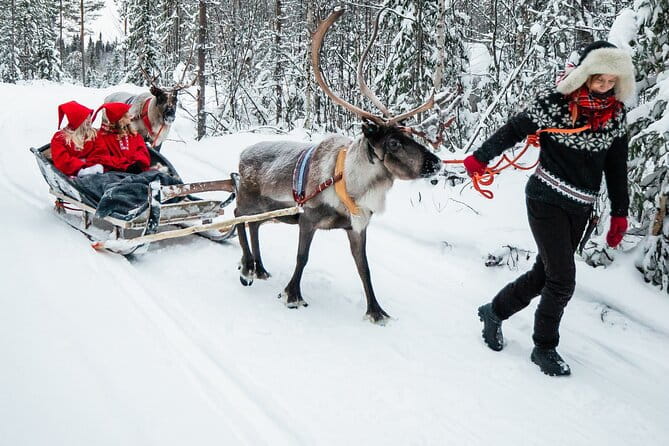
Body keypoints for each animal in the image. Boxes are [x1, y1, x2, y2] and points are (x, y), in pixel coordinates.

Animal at [233, 7, 452, 324]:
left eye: (410, 135)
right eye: (394, 142)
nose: (436, 163)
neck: (350, 184)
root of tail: (242, 153)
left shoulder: (357, 228)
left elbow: (365, 269)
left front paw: (376, 311)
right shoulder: (308, 218)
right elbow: (302, 257)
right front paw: (292, 295)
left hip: (268, 210)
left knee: (253, 225)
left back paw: (259, 268)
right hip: (248, 200)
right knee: (237, 216)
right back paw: (247, 268)